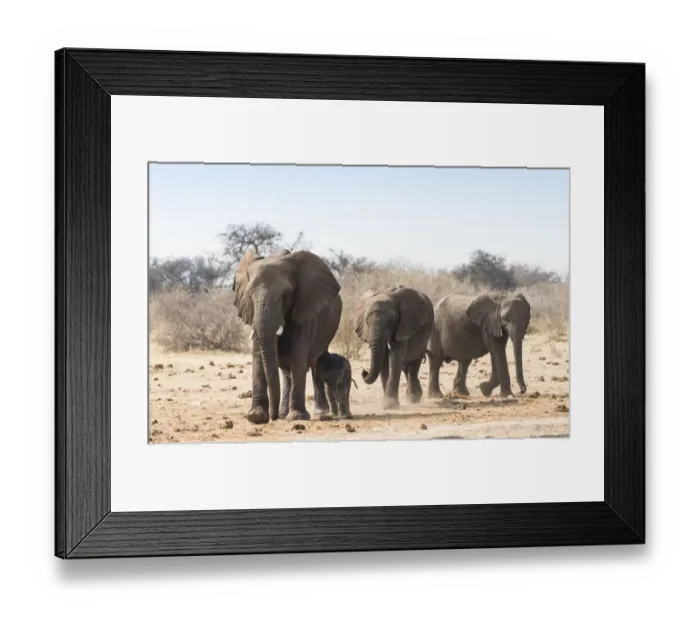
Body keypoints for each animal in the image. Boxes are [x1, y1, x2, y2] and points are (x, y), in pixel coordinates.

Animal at [233, 249, 342, 424]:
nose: (274, 417)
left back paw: (320, 413)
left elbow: (298, 354)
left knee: (316, 362)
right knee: (287, 372)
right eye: (250, 294)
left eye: (285, 295)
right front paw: (256, 417)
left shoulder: (304, 307)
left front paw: (297, 417)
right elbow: (258, 354)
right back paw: (285, 414)